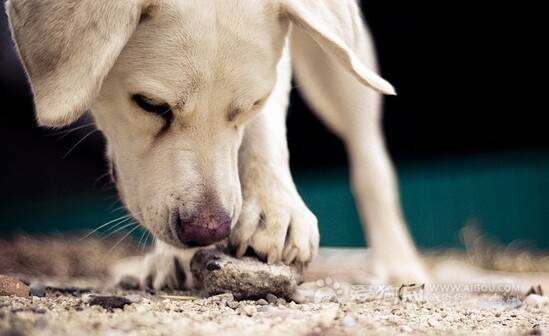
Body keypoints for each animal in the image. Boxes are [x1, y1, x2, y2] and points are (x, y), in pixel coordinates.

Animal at [8, 0, 426, 288]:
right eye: (150, 104)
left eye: (251, 104)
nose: (206, 232)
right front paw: (174, 255)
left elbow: (263, 130)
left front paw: (274, 209)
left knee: (368, 157)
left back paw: (399, 263)